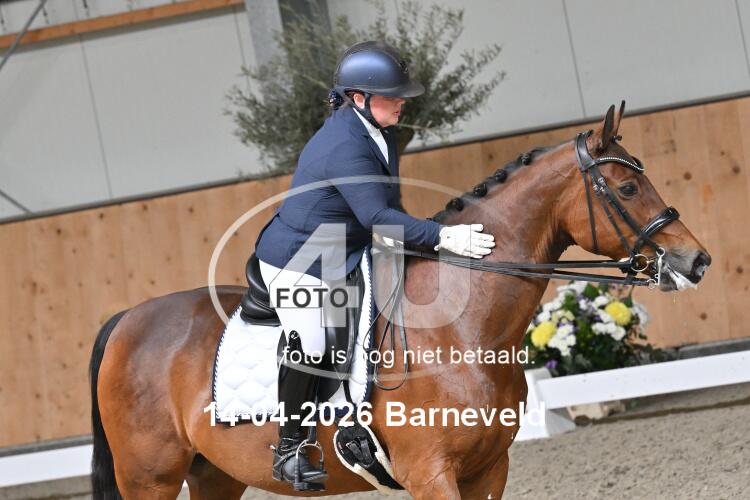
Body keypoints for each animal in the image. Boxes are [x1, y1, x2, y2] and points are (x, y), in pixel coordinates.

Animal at [89, 102, 710, 499]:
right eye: (627, 188)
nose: (696, 261)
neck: (464, 331)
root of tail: (126, 320)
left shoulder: (489, 469)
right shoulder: (431, 473)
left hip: (213, 474)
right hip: (149, 477)